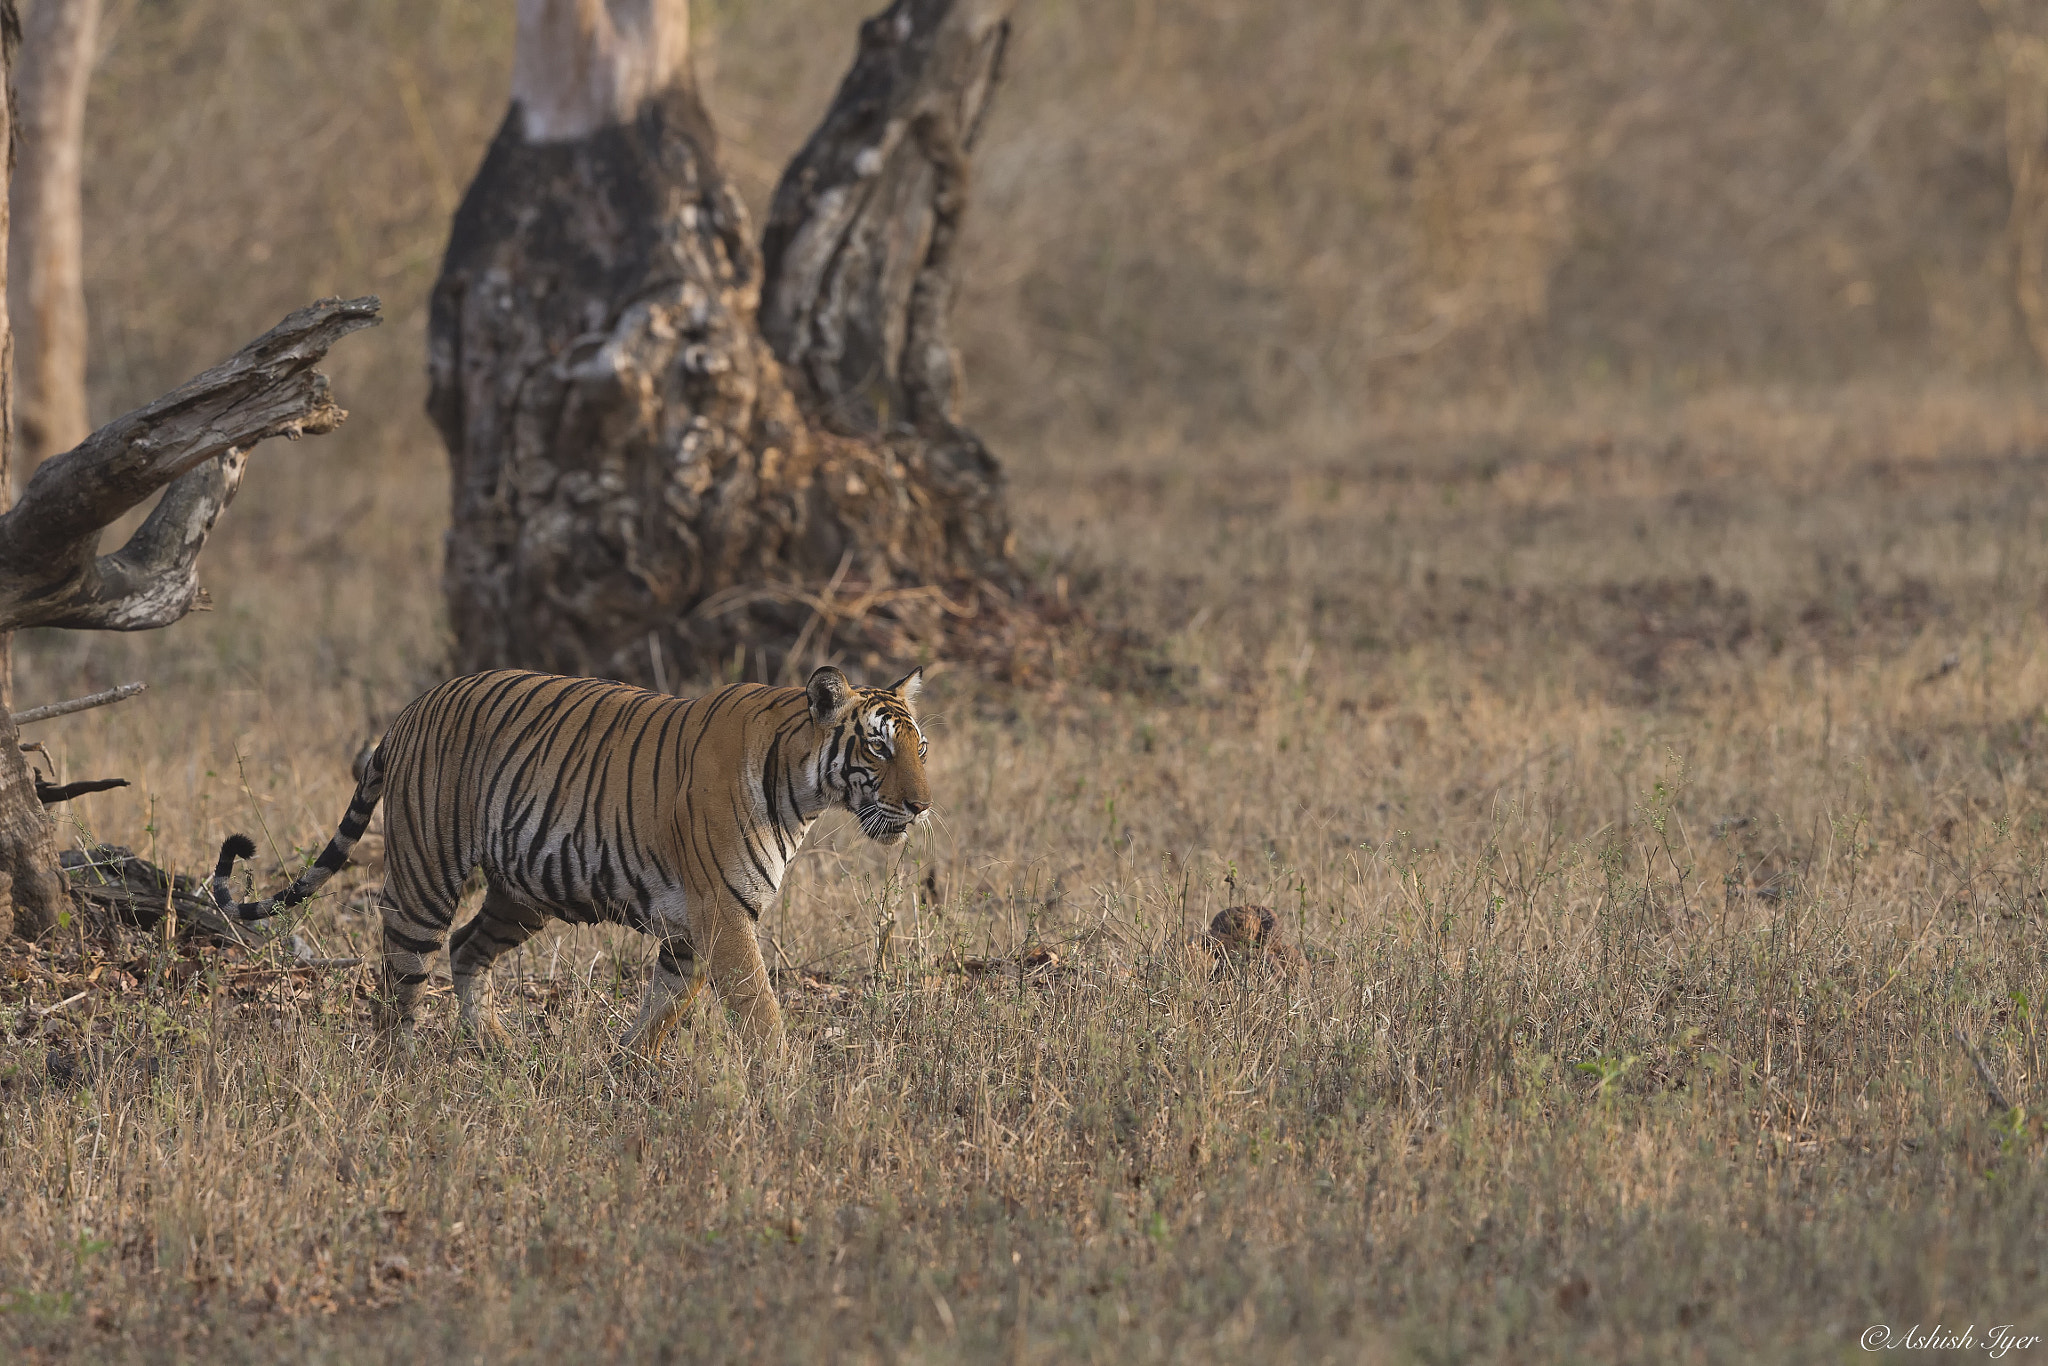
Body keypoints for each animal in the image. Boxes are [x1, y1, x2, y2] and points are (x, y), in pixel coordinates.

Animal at [205, 663, 929, 1056]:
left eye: (921, 748)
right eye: (879, 749)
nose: (923, 806)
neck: (802, 787)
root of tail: (409, 711)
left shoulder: (699, 924)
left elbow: (663, 1009)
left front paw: (624, 1072)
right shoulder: (722, 913)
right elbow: (760, 1011)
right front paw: (784, 1087)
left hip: (524, 890)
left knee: (466, 948)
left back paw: (497, 1051)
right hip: (425, 878)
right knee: (399, 989)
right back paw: (399, 1079)